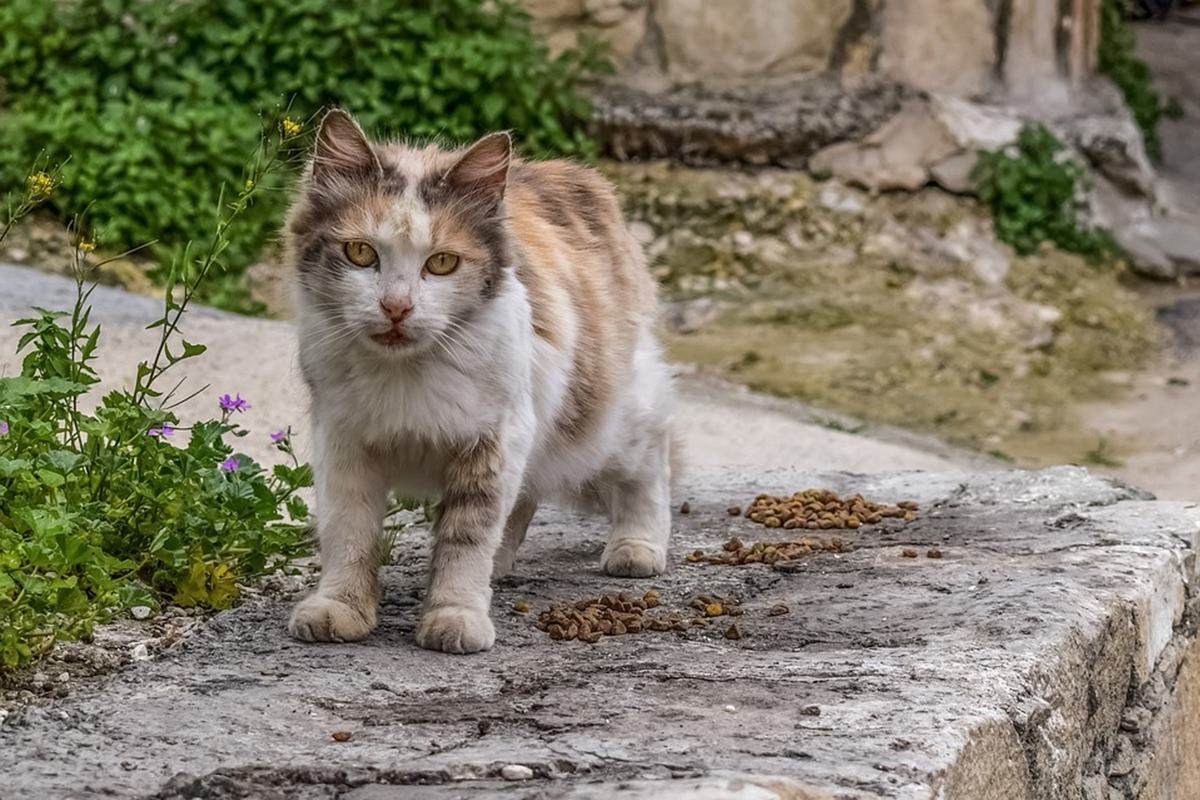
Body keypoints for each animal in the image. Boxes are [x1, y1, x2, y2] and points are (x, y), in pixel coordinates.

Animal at [282, 109, 676, 652]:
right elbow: (348, 533)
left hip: (610, 419)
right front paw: (341, 608)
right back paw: (504, 566)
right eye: (361, 253)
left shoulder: (493, 442)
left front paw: (455, 615)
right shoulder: (344, 443)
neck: (404, 373)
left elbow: (465, 539)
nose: (396, 308)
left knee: (649, 466)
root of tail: (578, 176)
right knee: (525, 500)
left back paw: (637, 546)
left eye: (442, 263)